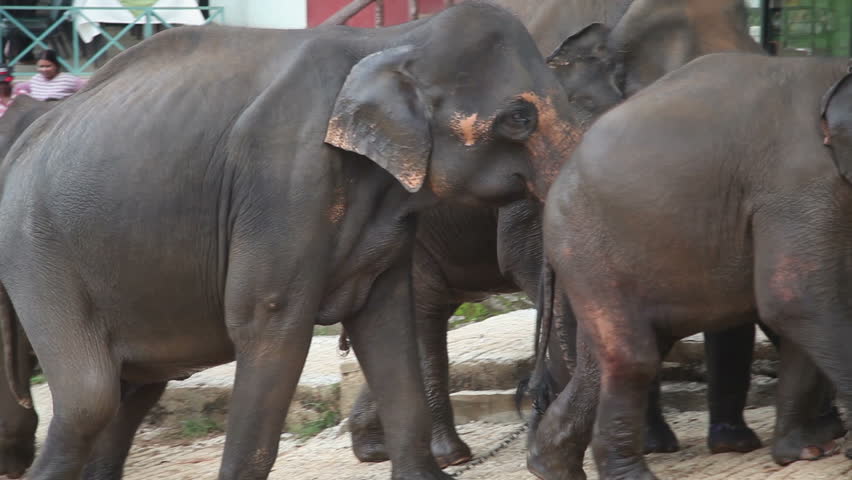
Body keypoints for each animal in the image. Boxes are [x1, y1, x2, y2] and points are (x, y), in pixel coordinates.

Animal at [0, 3, 585, 480]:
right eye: (520, 118)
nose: (531, 398)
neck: (393, 39)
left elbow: (386, 323)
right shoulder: (284, 185)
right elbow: (268, 322)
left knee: (133, 388)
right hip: (37, 252)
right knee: (90, 397)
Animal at [529, 53, 852, 480]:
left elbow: (805, 306)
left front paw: (805, 452)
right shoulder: (800, 184)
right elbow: (796, 299)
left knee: (602, 361)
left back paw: (549, 466)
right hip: (585, 247)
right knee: (632, 358)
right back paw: (627, 475)